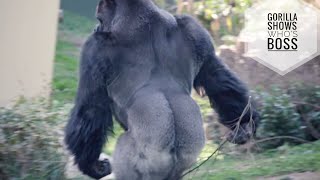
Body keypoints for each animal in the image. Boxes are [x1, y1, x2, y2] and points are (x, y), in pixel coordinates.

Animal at [64, 0, 258, 180]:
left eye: (100, 18)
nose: (96, 26)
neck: (143, 17)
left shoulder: (95, 47)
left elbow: (91, 107)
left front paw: (91, 165)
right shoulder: (195, 29)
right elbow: (217, 78)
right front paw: (244, 124)